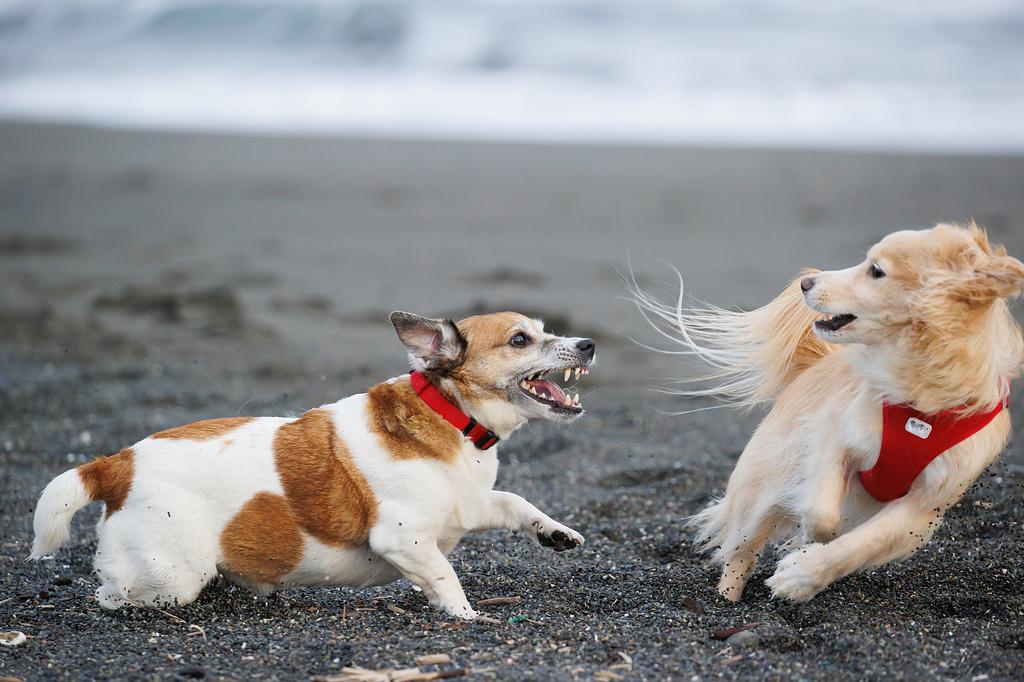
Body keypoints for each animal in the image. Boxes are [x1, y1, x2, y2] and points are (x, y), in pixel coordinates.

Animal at [29, 311, 593, 618]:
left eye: (543, 330)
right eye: (520, 340)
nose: (588, 343)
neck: (450, 415)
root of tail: (114, 464)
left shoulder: (472, 505)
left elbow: (515, 501)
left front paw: (555, 533)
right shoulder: (404, 540)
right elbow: (445, 576)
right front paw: (467, 617)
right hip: (172, 576)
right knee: (111, 594)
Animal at [630, 223, 1024, 602]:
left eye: (876, 270)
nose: (807, 282)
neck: (920, 394)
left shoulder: (923, 506)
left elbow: (860, 543)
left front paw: (800, 575)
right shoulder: (836, 437)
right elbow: (822, 513)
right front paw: (808, 537)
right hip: (762, 486)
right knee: (741, 552)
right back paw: (726, 602)